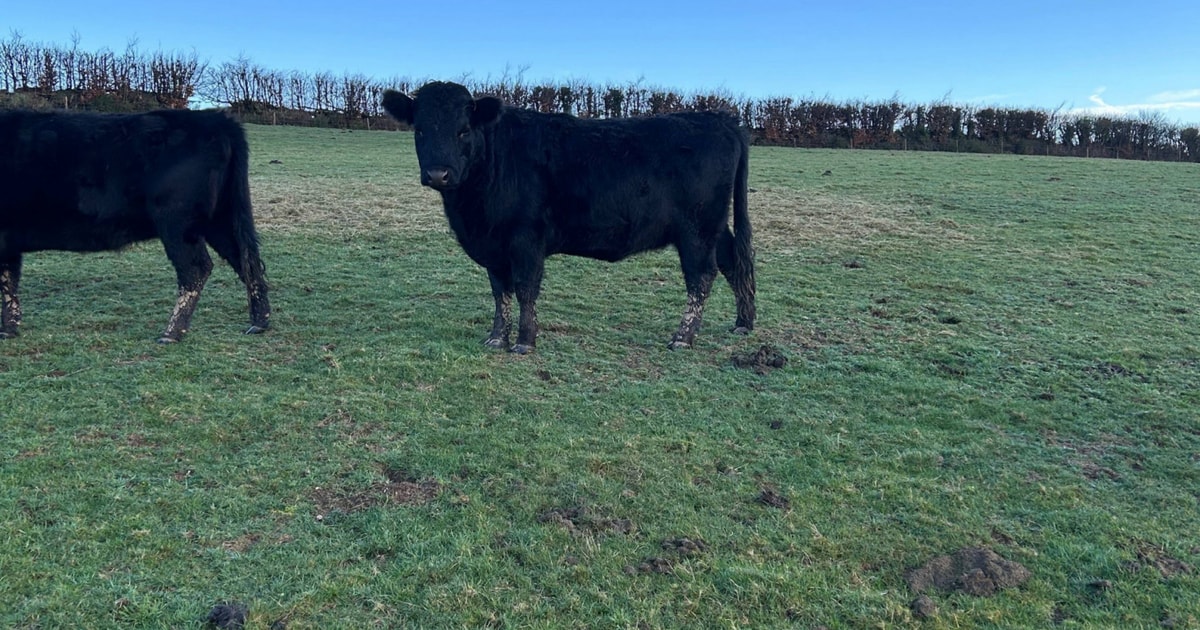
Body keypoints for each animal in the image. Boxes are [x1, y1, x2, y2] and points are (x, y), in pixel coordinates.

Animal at [0, 108, 270, 343]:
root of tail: (215, 119)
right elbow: (9, 281)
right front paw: (9, 329)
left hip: (179, 222)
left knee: (196, 269)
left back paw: (171, 333)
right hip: (220, 219)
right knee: (246, 261)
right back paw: (260, 323)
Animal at [381, 81, 755, 353]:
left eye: (463, 130)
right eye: (419, 130)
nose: (438, 174)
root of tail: (719, 119)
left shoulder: (525, 237)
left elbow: (525, 287)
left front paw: (524, 342)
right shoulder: (493, 246)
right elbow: (499, 291)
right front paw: (496, 337)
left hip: (697, 229)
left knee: (701, 277)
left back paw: (683, 337)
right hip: (715, 227)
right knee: (733, 262)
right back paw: (743, 323)